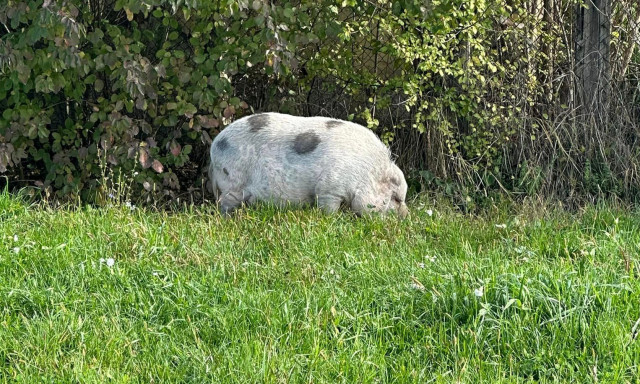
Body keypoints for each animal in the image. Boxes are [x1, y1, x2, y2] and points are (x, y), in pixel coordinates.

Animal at [210, 112, 410, 218]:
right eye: (396, 198)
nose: (407, 216)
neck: (366, 173)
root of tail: (215, 145)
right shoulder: (329, 188)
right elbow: (328, 207)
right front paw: (332, 219)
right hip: (232, 182)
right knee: (225, 203)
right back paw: (228, 219)